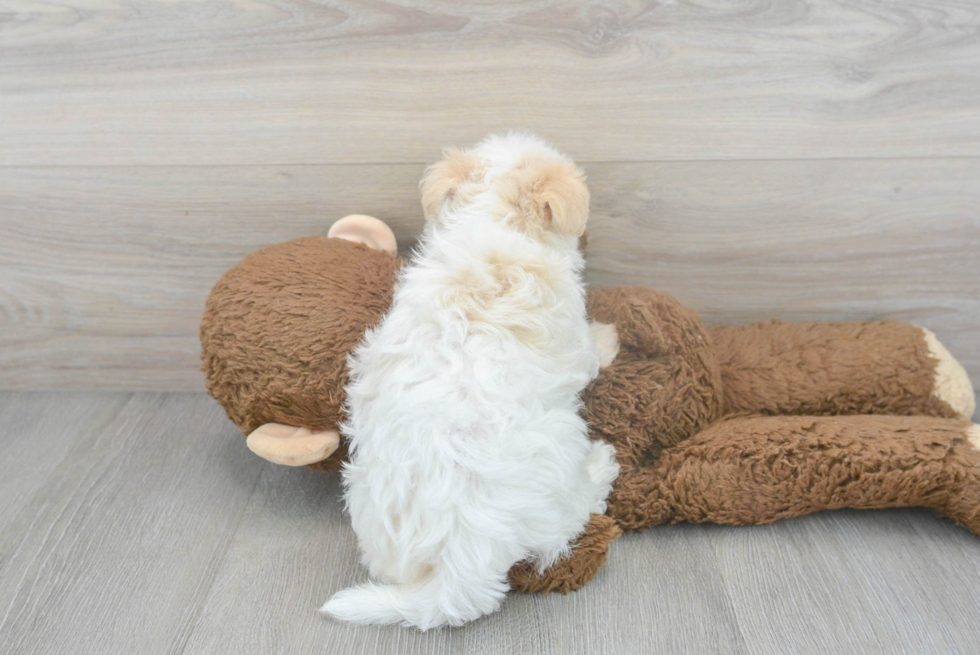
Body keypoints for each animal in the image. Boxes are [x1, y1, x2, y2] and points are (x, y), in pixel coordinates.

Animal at [322, 133, 620, 632]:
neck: (494, 218)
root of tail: (459, 563)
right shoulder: (573, 336)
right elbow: (592, 351)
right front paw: (612, 338)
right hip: (561, 451)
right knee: (572, 516)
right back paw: (601, 467)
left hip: (363, 495)